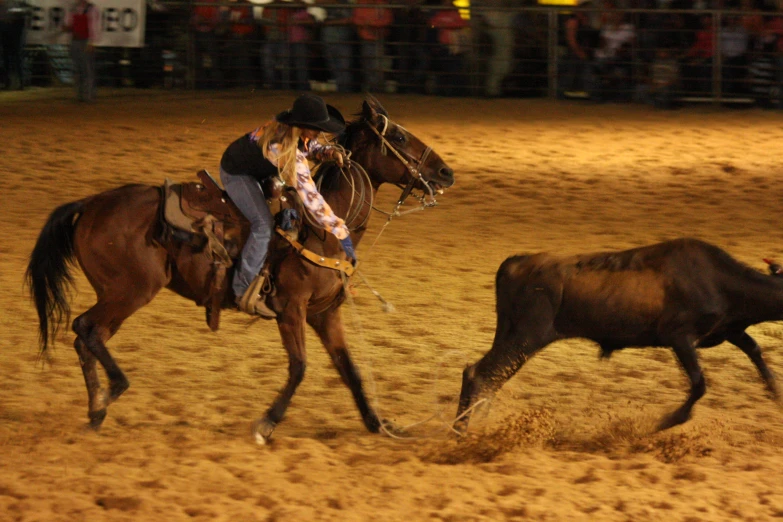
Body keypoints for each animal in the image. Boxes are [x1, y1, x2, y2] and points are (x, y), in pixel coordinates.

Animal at [26, 96, 454, 438]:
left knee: (87, 336)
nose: (446, 172)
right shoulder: (291, 309)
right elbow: (300, 367)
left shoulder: (325, 313)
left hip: (118, 294)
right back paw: (109, 393)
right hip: (129, 290)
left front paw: (378, 423)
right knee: (85, 328)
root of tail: (91, 203)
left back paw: (96, 410)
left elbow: (350, 370)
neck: (320, 231)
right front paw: (267, 423)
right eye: (398, 138)